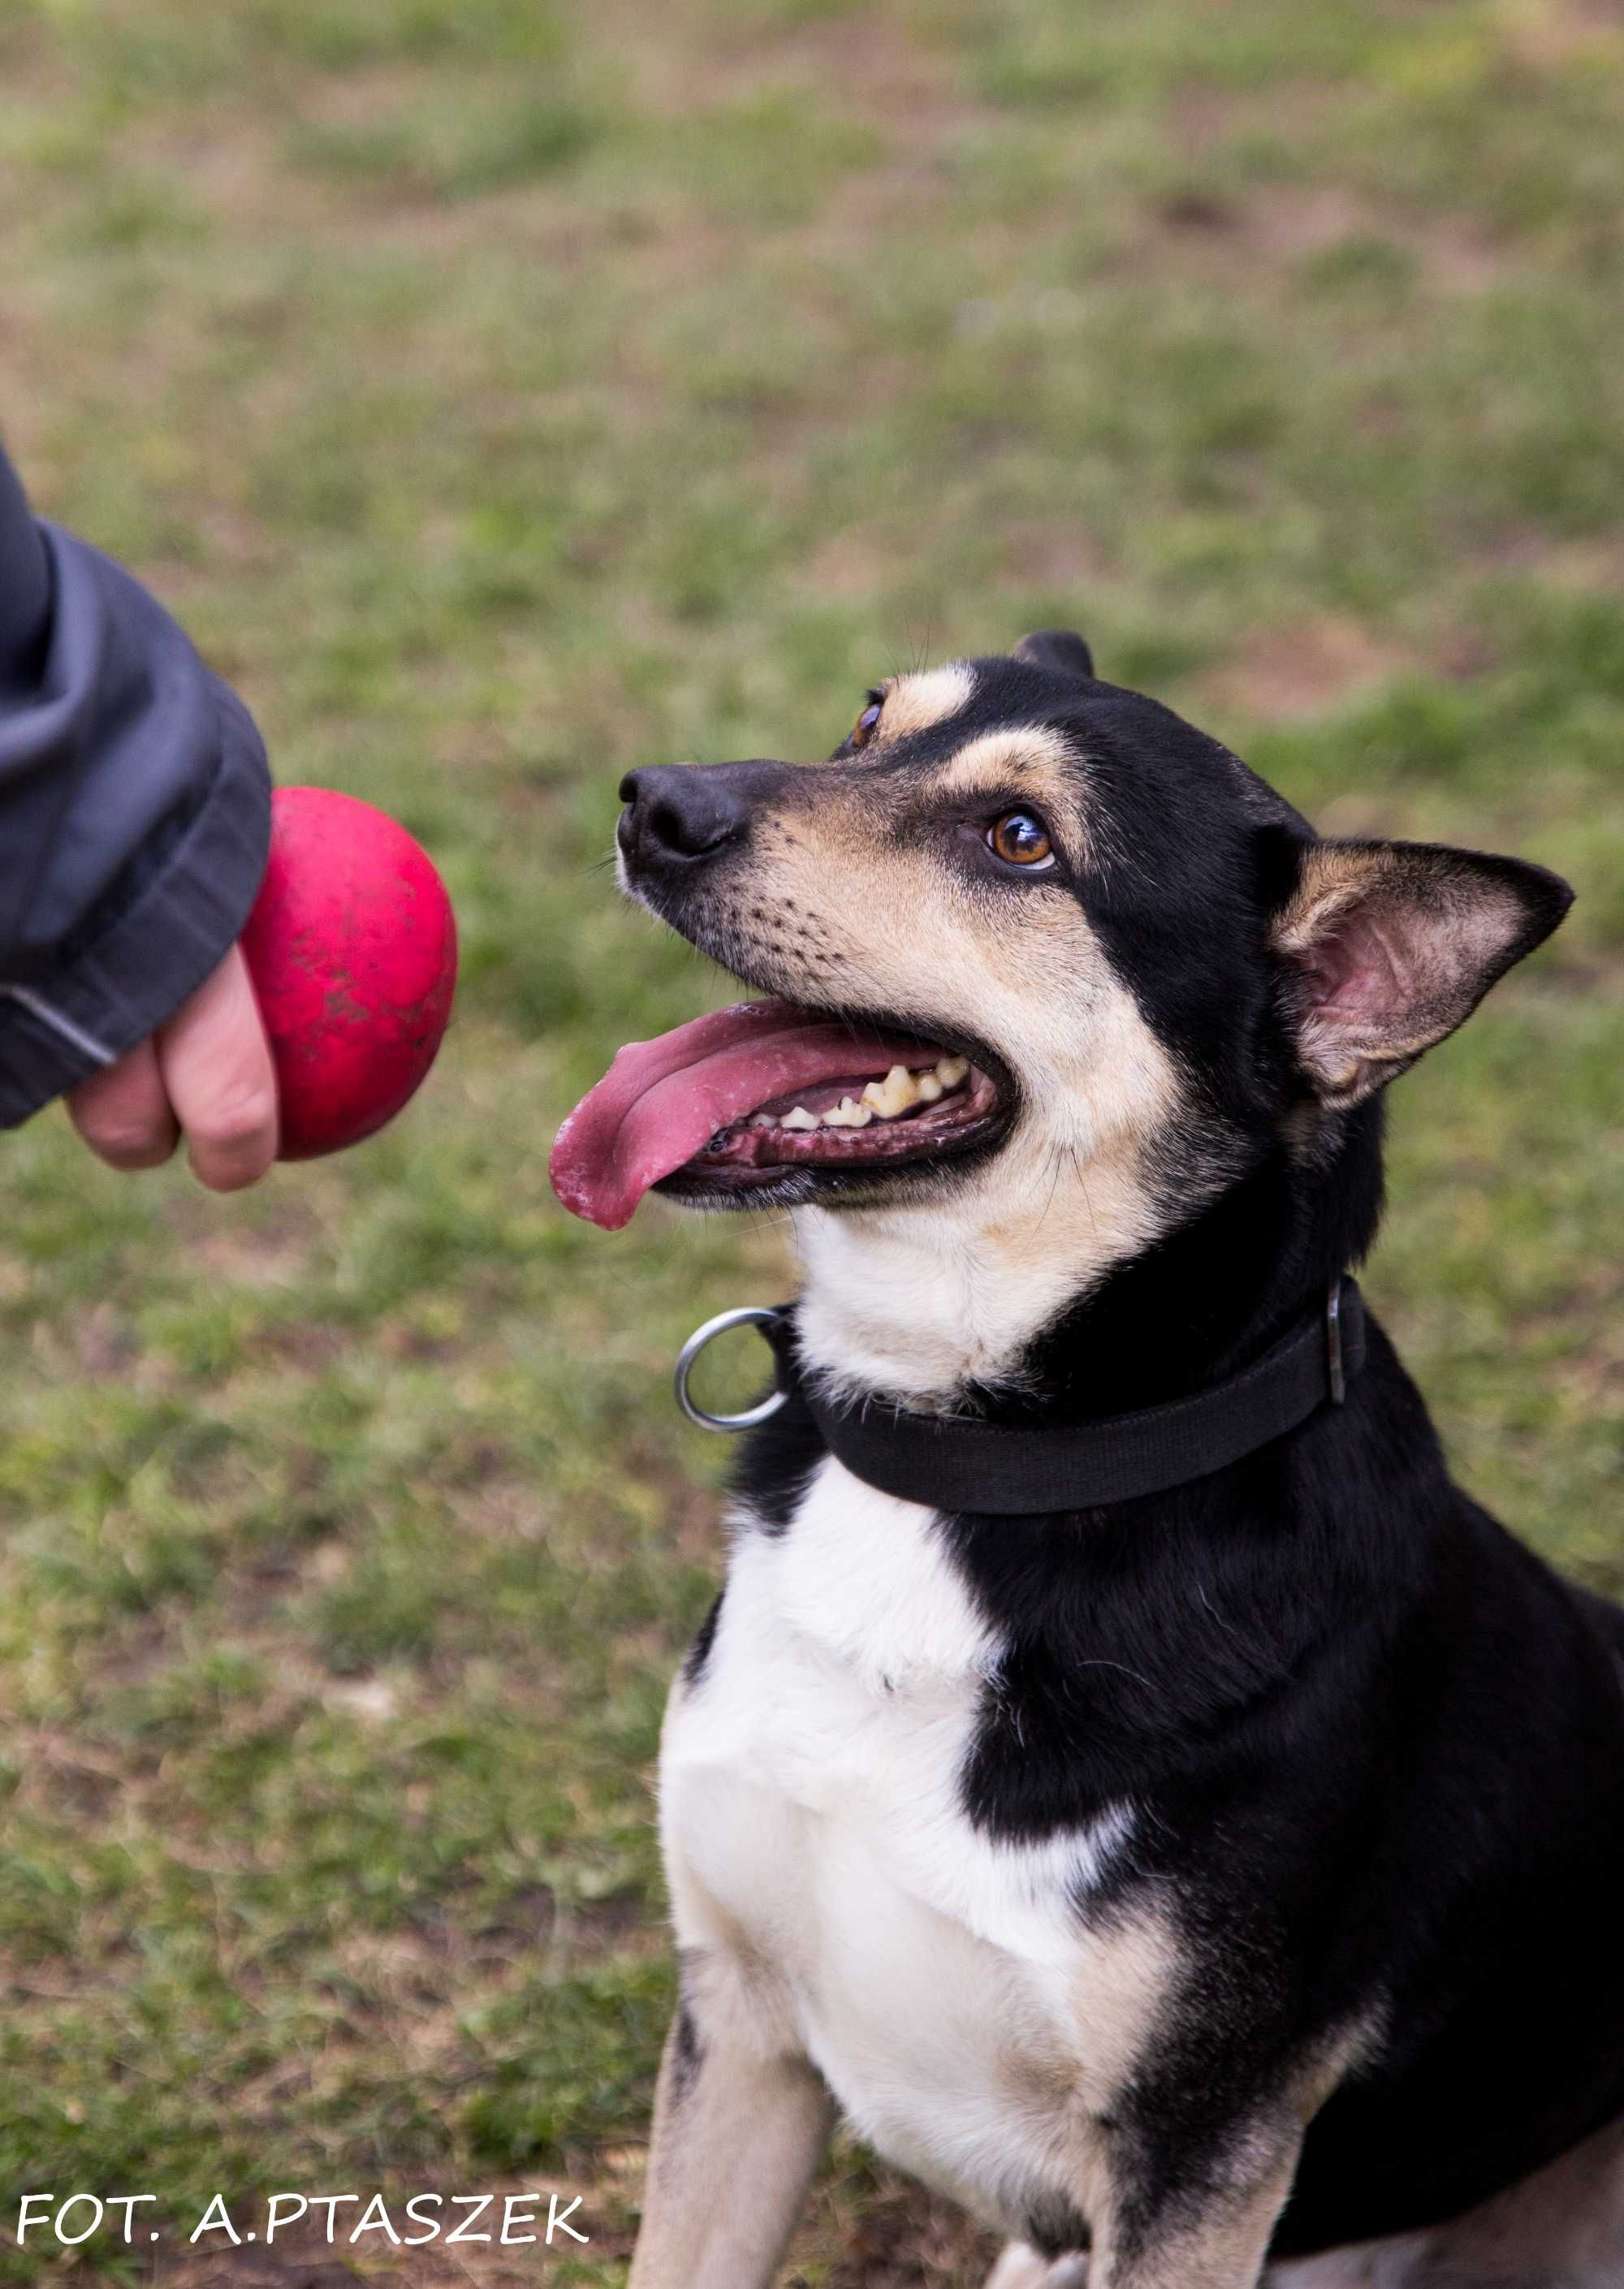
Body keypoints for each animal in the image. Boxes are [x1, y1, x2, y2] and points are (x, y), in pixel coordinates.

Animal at [547, 632, 1622, 2289]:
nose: (656, 802)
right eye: (869, 721)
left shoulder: (1202, 2158)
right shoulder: (738, 2027)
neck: (970, 1461)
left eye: (1020, 841)